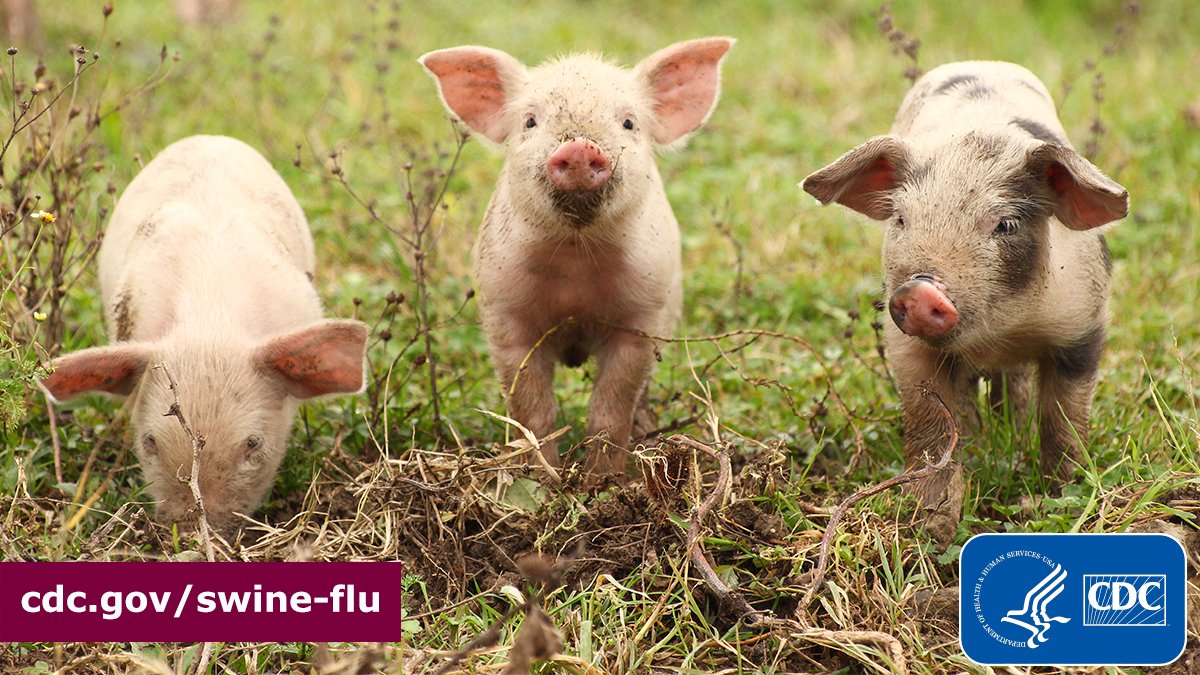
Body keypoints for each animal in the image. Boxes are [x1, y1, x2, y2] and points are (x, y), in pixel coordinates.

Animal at [419, 38, 734, 478]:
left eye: (629, 123)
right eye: (530, 121)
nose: (580, 147)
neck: (575, 264)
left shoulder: (641, 319)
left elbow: (610, 409)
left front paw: (604, 482)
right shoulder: (505, 314)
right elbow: (532, 410)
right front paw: (543, 479)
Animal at [802, 62, 1128, 542]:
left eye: (1006, 224)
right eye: (902, 219)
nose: (920, 289)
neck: (999, 331)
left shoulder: (1082, 324)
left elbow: (1064, 420)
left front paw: (1059, 496)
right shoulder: (907, 346)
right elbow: (931, 428)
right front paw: (930, 524)